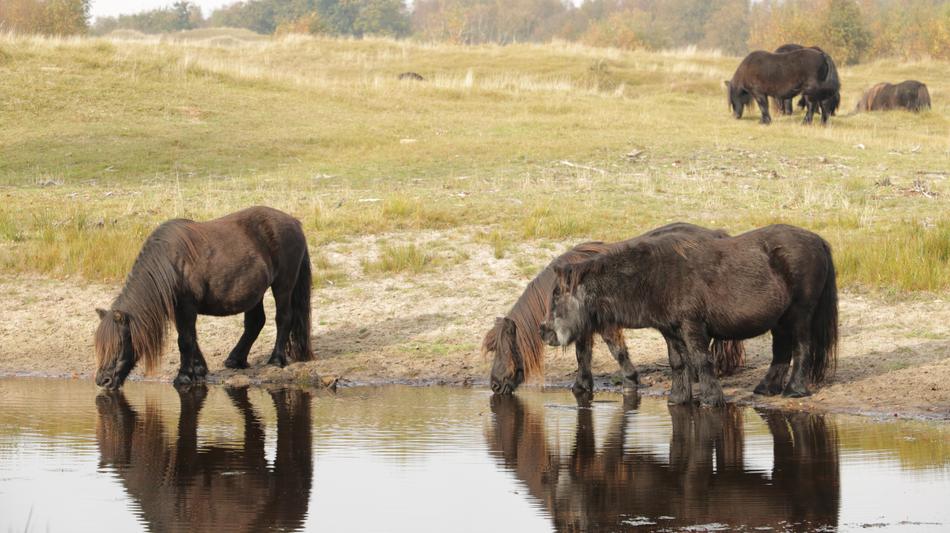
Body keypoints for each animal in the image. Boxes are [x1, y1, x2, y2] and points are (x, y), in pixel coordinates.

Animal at [94, 206, 312, 390]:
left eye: (119, 344)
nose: (103, 381)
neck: (171, 263)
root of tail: (294, 222)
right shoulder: (179, 310)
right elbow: (191, 338)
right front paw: (198, 370)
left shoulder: (187, 307)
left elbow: (185, 340)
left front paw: (183, 376)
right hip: (254, 293)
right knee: (255, 322)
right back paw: (235, 360)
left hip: (283, 285)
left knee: (283, 318)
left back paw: (276, 360)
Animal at [485, 223, 745, 395]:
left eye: (501, 348)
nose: (494, 385)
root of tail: (717, 234)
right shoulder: (583, 328)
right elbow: (583, 355)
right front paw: (582, 385)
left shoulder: (607, 325)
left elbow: (616, 352)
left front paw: (630, 379)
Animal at [540, 224, 838, 406]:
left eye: (556, 295)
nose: (544, 332)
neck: (653, 275)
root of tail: (817, 240)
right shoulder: (670, 330)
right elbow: (678, 362)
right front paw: (678, 398)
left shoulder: (691, 325)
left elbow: (700, 360)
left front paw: (711, 398)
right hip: (780, 320)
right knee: (781, 351)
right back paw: (766, 388)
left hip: (799, 314)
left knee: (802, 348)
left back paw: (794, 390)